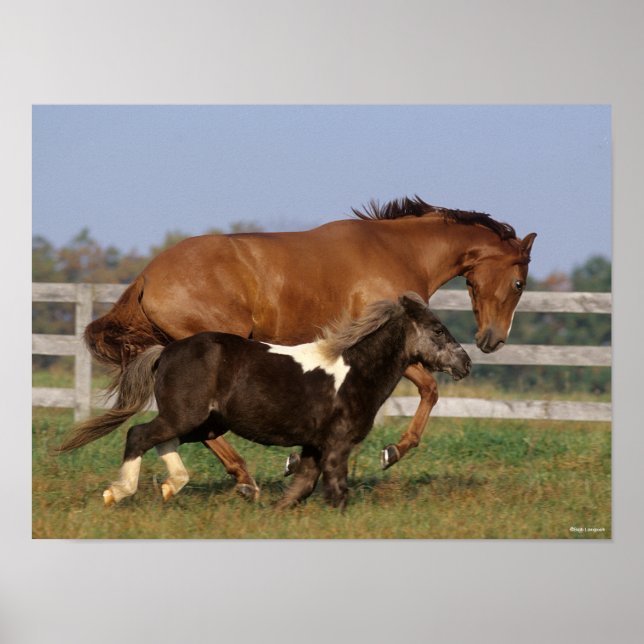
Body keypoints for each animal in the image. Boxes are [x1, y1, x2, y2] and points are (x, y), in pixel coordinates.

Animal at [58, 293, 471, 510]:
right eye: (438, 329)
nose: (465, 363)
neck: (353, 372)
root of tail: (167, 350)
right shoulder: (337, 444)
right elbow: (336, 489)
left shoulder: (313, 445)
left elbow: (301, 486)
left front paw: (274, 512)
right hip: (186, 415)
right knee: (139, 435)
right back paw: (119, 492)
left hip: (203, 421)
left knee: (164, 440)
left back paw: (173, 486)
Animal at [84, 195, 536, 499]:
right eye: (519, 283)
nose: (493, 340)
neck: (398, 252)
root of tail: (146, 277)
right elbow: (430, 389)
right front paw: (392, 452)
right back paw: (240, 480)